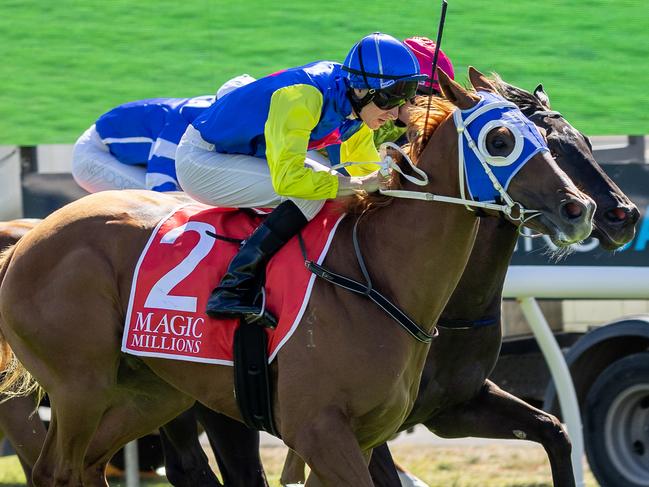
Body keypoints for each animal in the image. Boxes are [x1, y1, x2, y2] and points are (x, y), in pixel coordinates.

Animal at [0, 66, 592, 486]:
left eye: (547, 139)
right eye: (500, 140)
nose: (579, 209)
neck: (375, 277)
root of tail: (29, 238)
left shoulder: (368, 434)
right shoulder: (319, 430)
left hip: (147, 392)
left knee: (83, 467)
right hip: (80, 386)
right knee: (58, 469)